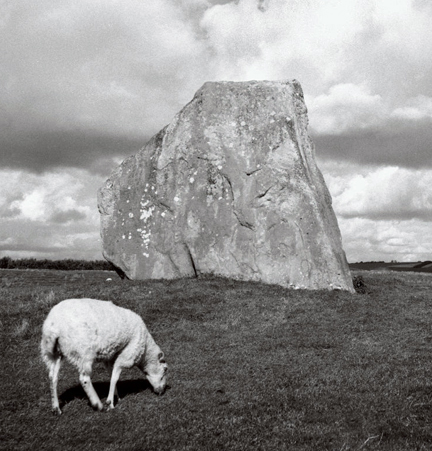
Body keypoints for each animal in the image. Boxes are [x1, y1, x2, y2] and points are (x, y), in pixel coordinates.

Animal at [40, 298, 168, 414]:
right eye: (164, 371)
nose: (161, 391)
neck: (146, 351)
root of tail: (54, 326)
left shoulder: (109, 357)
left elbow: (111, 375)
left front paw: (116, 396)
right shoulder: (128, 354)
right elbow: (115, 377)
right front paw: (110, 402)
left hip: (53, 353)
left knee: (52, 377)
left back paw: (56, 407)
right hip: (83, 352)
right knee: (84, 379)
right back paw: (97, 404)